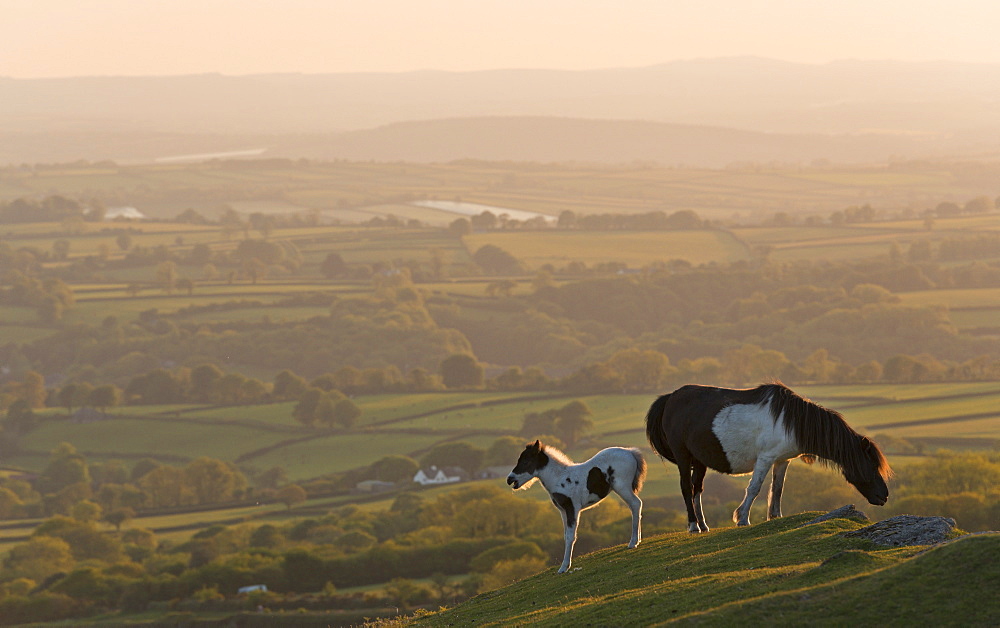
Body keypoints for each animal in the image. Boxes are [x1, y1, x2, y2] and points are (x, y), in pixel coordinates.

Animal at [508, 442, 648, 576]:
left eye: (526, 461)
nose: (509, 479)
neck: (559, 478)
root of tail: (630, 452)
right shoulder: (563, 511)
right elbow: (566, 535)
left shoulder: (573, 508)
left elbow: (571, 536)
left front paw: (564, 567)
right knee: (635, 506)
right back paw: (638, 540)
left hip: (622, 487)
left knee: (636, 504)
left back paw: (633, 543)